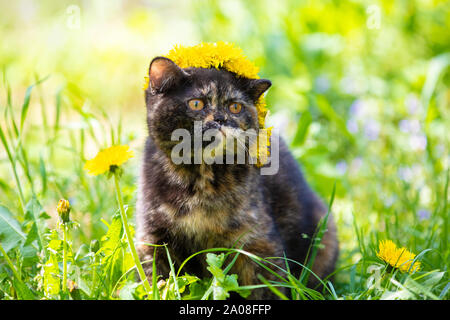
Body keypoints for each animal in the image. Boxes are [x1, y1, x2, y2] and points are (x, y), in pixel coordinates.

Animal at [135, 56, 340, 298]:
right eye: (196, 104)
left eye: (235, 107)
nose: (221, 118)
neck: (201, 180)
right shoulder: (154, 240)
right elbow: (159, 284)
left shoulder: (258, 245)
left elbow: (267, 289)